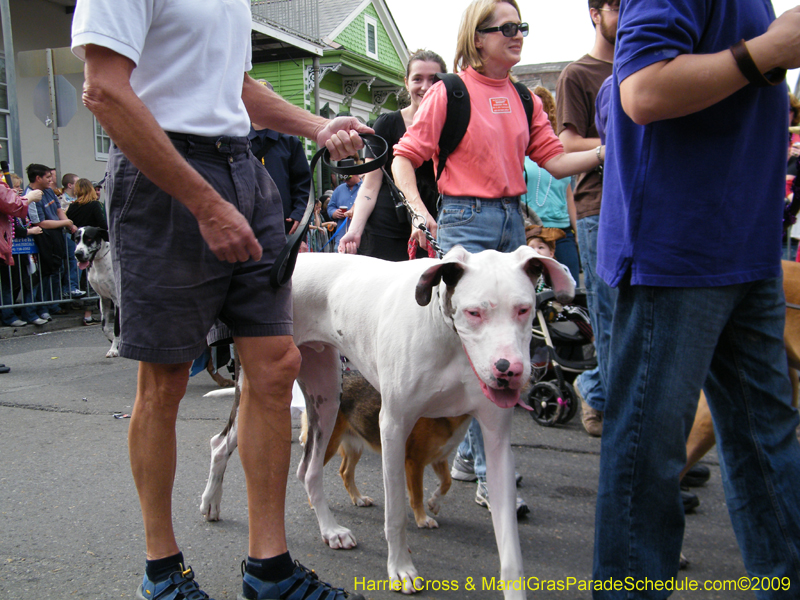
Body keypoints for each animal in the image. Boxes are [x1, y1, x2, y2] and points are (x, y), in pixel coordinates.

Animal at [73, 225, 120, 356]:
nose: (78, 253)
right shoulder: (104, 299)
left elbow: (116, 327)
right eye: (76, 239)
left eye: (89, 239)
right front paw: (112, 340)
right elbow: (104, 327)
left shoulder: (117, 301)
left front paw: (114, 349)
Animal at [203, 246, 572, 596]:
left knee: (307, 470)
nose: (509, 370)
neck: (447, 335)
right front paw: (401, 569)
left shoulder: (495, 442)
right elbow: (396, 512)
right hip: (263, 382)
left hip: (327, 395)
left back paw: (330, 530)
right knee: (221, 443)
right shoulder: (394, 429)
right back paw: (211, 501)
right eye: (474, 312)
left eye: (523, 310)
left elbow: (509, 546)